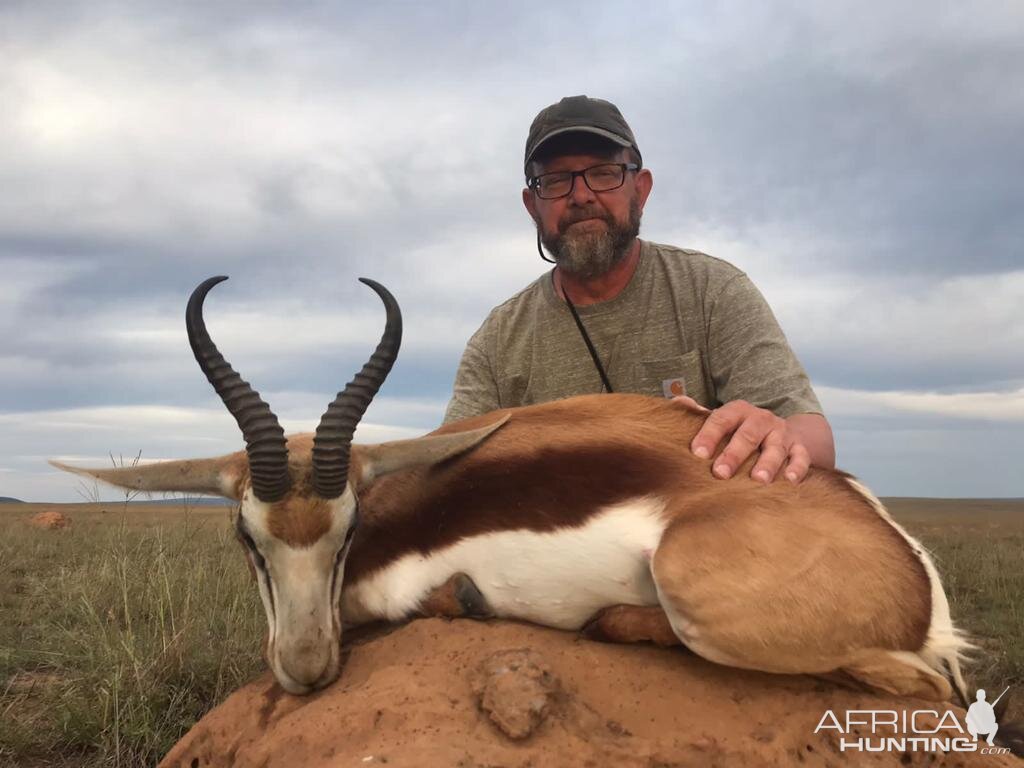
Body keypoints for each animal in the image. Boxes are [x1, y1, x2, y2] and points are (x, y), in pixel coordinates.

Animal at [54, 276, 966, 708]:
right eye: (248, 536)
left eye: (348, 530)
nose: (306, 670)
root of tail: (907, 568)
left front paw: (462, 599)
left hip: (692, 586)